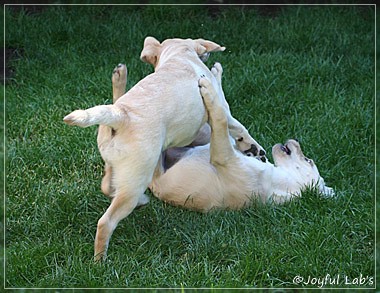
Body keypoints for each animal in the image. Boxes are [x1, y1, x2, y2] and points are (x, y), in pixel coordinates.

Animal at [63, 37, 264, 260]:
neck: (179, 56)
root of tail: (121, 115)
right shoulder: (223, 110)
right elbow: (239, 128)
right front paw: (254, 148)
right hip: (137, 177)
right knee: (106, 222)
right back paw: (100, 260)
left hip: (117, 164)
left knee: (108, 186)